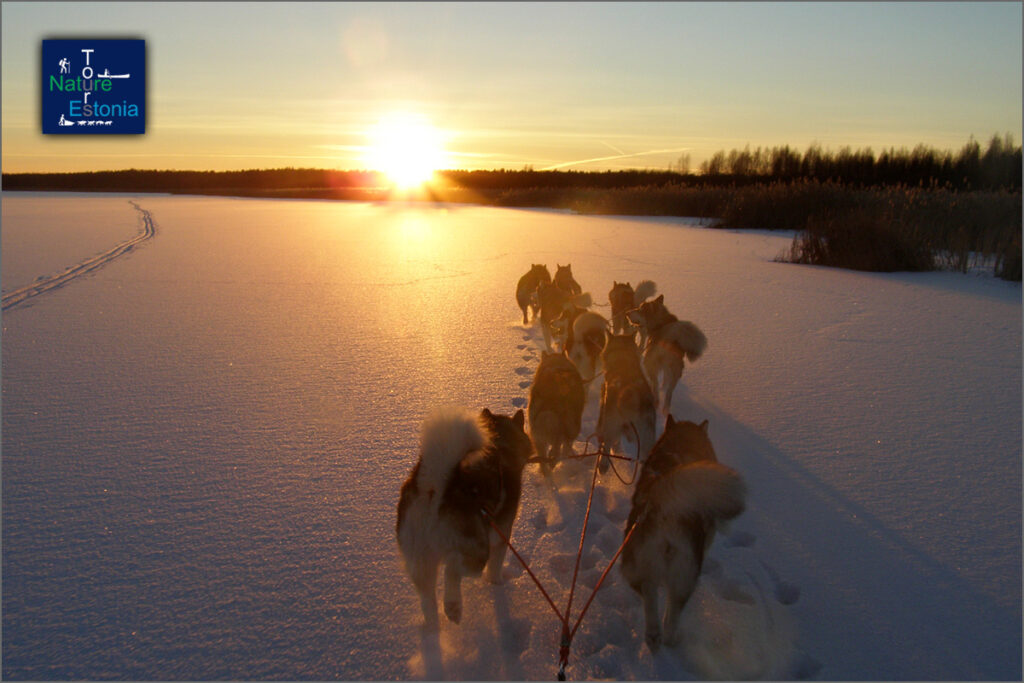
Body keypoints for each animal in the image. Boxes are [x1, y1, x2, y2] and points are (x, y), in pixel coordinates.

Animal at [393, 405, 532, 630]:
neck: (500, 445)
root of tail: (438, 487)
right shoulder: (502, 537)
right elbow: (495, 568)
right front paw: (497, 585)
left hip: (421, 559)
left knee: (428, 600)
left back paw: (435, 627)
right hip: (477, 551)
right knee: (453, 568)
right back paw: (453, 607)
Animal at [618, 413, 749, 655]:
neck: (678, 450)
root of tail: (665, 509)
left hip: (637, 567)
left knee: (649, 596)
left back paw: (653, 636)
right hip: (684, 578)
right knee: (672, 617)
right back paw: (672, 638)